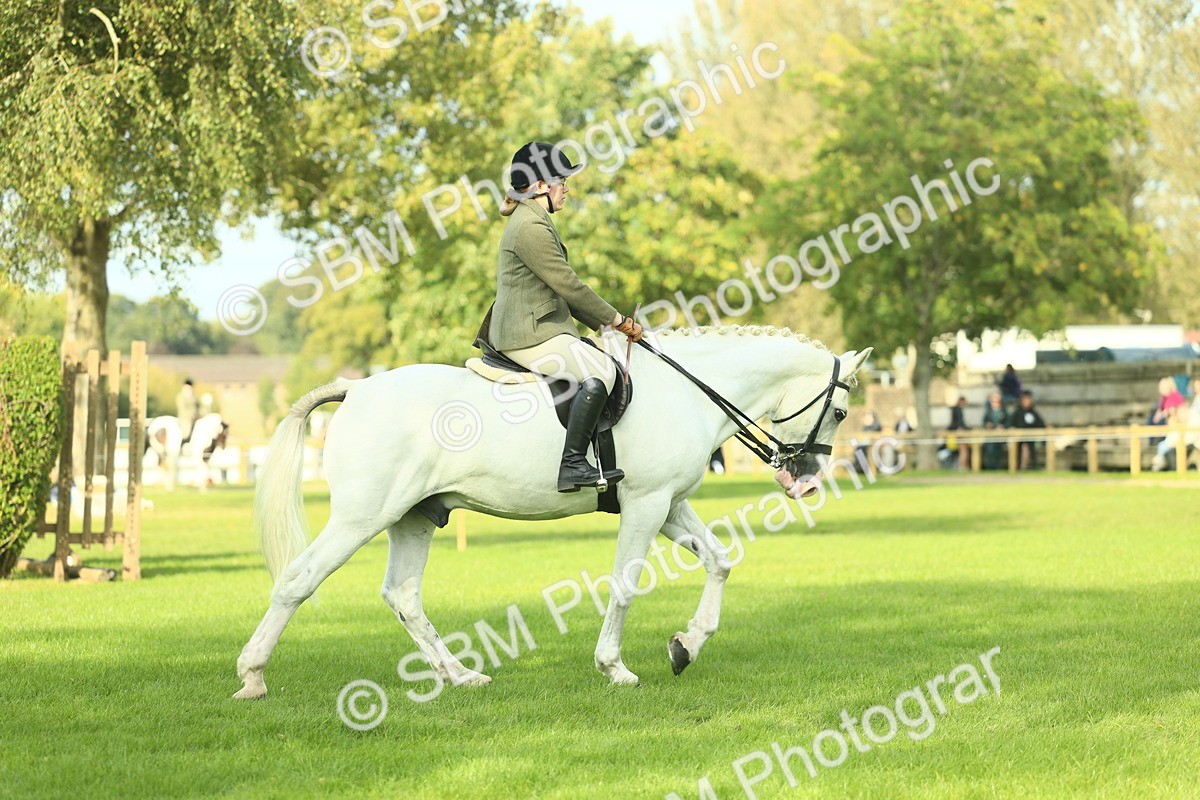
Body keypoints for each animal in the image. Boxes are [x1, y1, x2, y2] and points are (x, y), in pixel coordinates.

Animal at [234, 325, 871, 700]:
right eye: (840, 411)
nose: (805, 482)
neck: (687, 392)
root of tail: (358, 388)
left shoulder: (669, 504)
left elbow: (719, 561)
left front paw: (686, 646)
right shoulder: (645, 505)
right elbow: (624, 584)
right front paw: (614, 667)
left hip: (413, 517)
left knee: (403, 595)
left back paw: (459, 675)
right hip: (361, 517)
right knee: (299, 579)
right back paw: (252, 675)